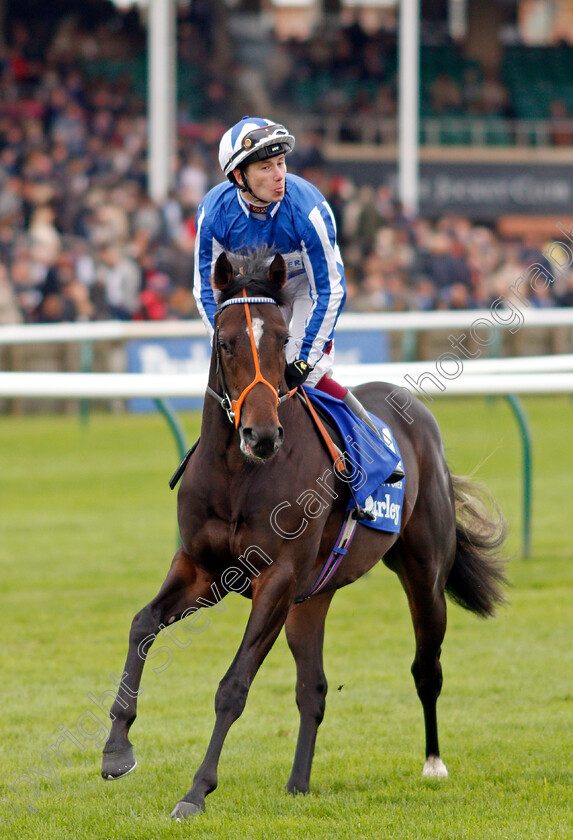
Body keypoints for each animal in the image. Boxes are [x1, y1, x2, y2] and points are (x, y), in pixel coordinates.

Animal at [99, 246, 504, 816]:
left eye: (281, 340)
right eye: (225, 342)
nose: (262, 434)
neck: (238, 474)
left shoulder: (277, 577)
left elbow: (233, 686)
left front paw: (197, 791)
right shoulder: (203, 569)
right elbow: (142, 626)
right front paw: (117, 749)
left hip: (422, 573)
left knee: (427, 666)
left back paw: (433, 763)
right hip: (311, 599)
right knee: (313, 688)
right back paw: (298, 782)